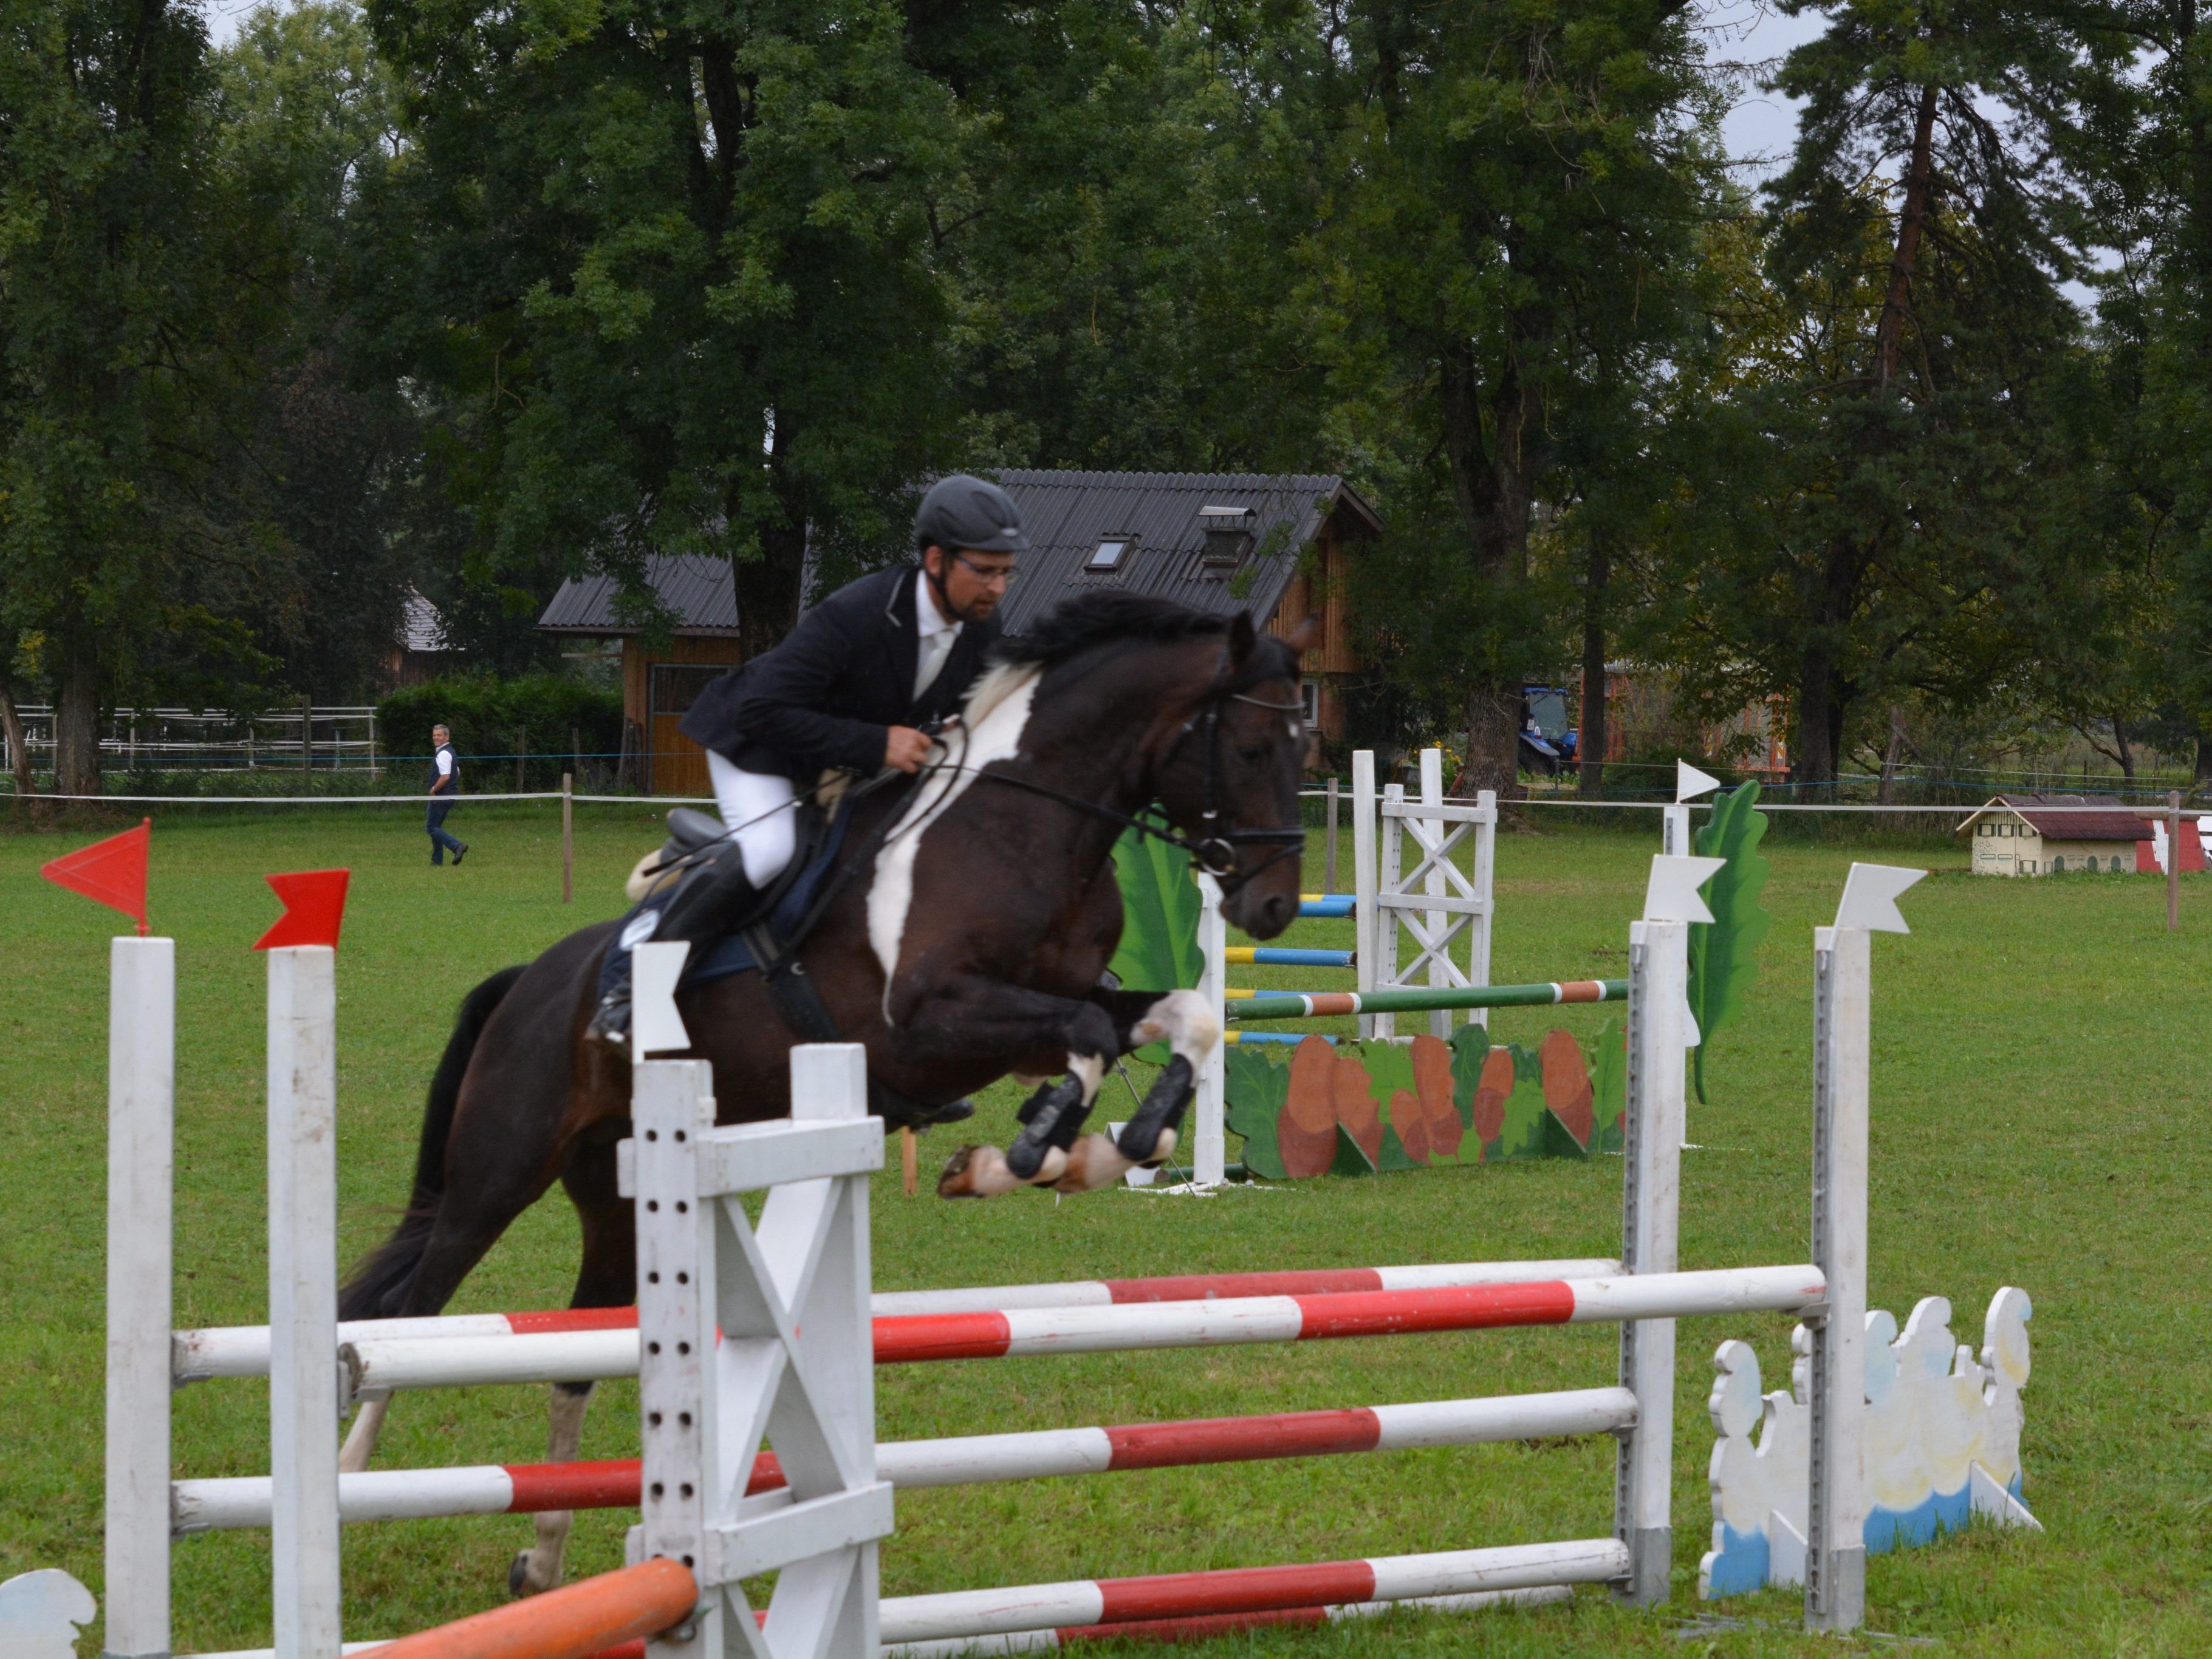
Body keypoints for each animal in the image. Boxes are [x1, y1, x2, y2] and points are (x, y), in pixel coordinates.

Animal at [336, 592, 1318, 1601]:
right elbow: (1084, 1037)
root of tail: (529, 981)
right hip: (498, 1169)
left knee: (574, 1349)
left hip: (611, 1198)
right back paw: (342, 1491)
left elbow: (1180, 1017)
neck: (1025, 822)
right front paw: (1030, 1149)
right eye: (1250, 749)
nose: (1275, 907)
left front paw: (1116, 1142)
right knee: (410, 1311)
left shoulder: (1050, 1007)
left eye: (1307, 751)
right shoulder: (928, 1021)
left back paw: (543, 1554)